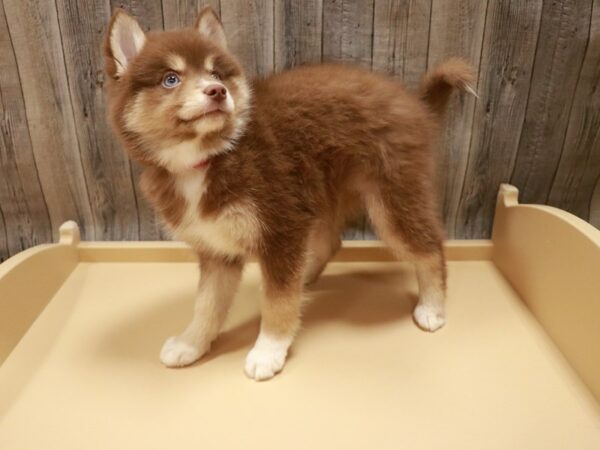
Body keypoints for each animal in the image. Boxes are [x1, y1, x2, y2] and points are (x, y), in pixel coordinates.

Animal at [105, 6, 476, 380]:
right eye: (171, 79)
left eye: (215, 73)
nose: (217, 91)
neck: (210, 157)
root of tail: (416, 104)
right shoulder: (218, 248)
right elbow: (207, 305)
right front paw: (191, 344)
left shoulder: (280, 227)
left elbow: (276, 302)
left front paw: (268, 350)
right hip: (319, 191)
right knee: (327, 244)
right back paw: (305, 276)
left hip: (392, 199)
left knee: (430, 248)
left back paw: (432, 307)